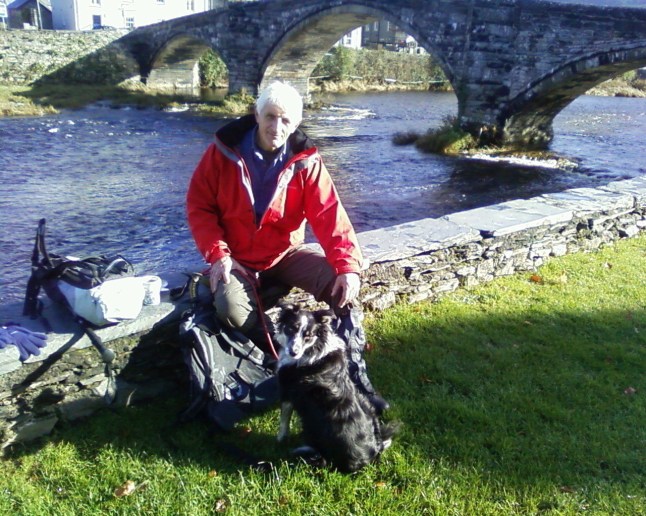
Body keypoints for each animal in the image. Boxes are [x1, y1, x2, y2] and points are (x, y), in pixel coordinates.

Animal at [276, 304, 398, 474]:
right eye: (291, 328)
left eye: (308, 335)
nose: (293, 352)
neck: (314, 347)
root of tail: (369, 456)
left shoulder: (287, 390)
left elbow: (284, 419)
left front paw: (280, 439)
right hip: (365, 402)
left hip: (312, 429)